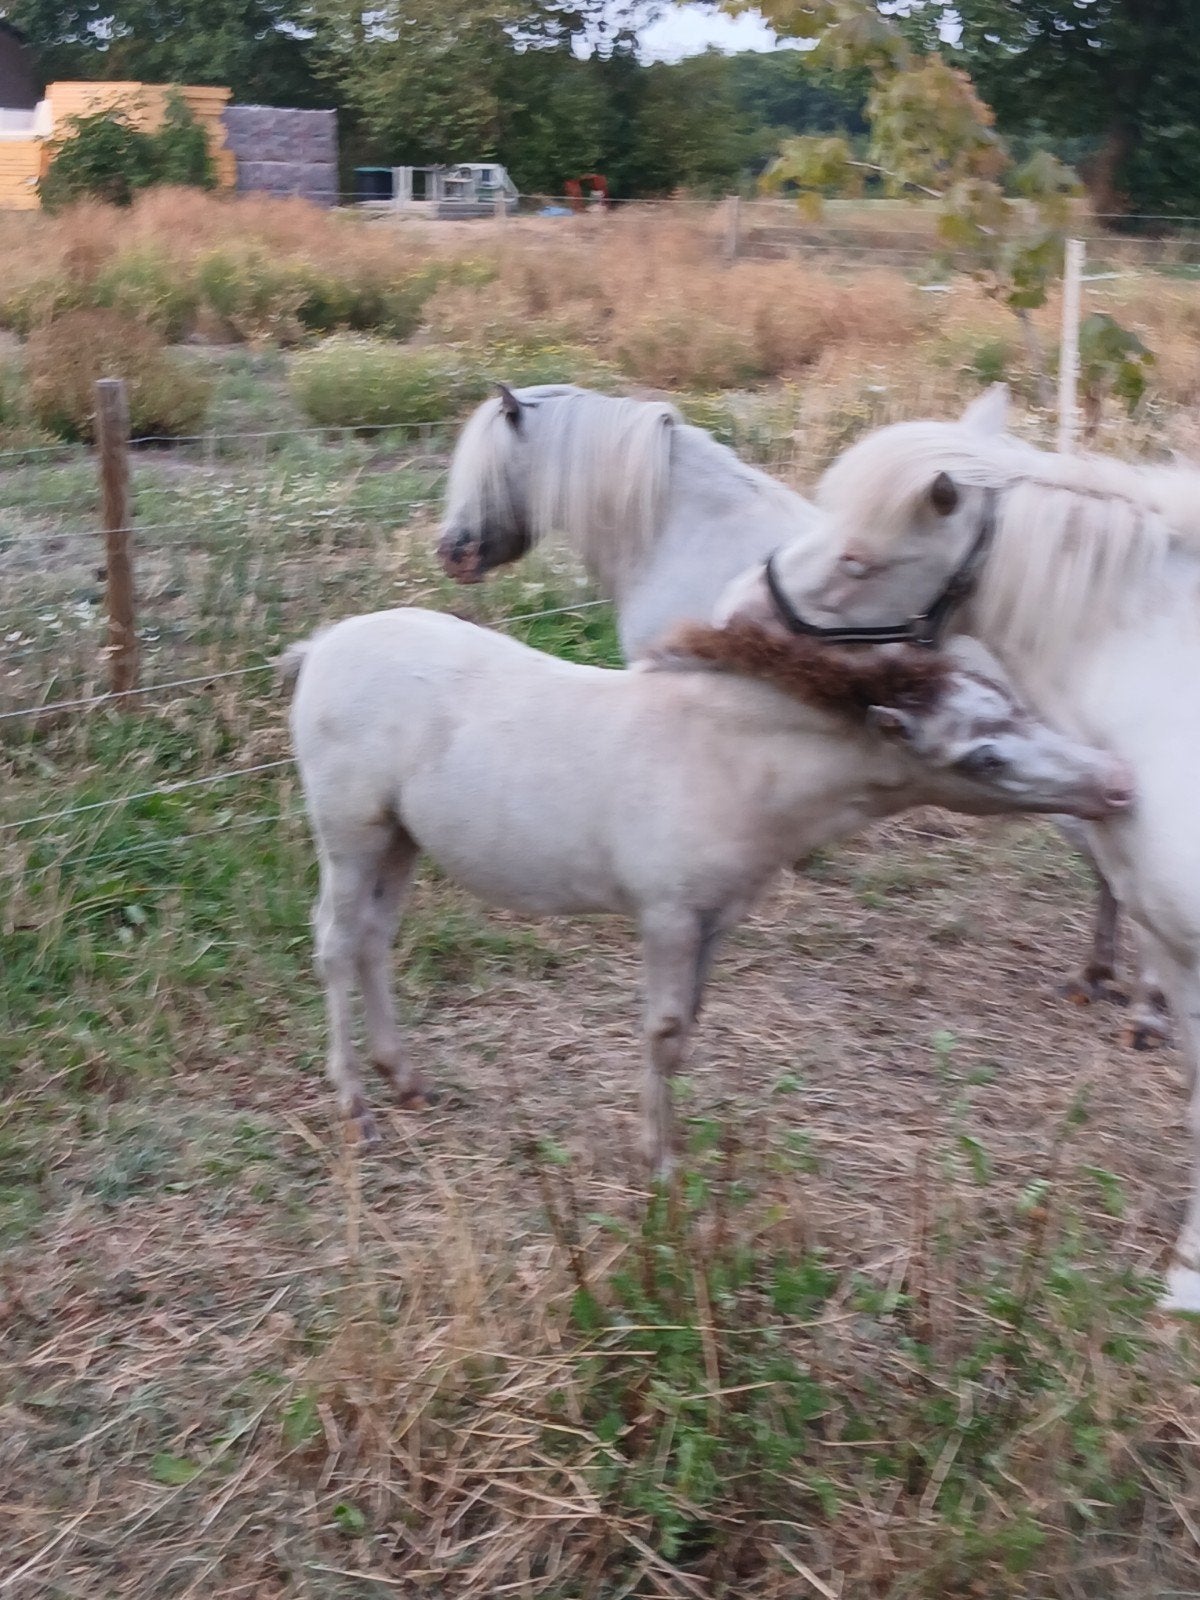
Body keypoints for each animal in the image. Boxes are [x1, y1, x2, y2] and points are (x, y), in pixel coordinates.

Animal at [283, 607, 1131, 1170]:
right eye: (984, 756)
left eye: (1016, 704)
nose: (1116, 784)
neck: (730, 762)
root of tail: (324, 643)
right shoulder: (668, 915)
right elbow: (662, 1033)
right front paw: (660, 1163)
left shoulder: (717, 918)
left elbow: (689, 1029)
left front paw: (672, 1143)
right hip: (351, 832)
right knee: (336, 944)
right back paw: (355, 1104)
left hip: (399, 839)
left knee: (373, 941)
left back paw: (403, 1078)